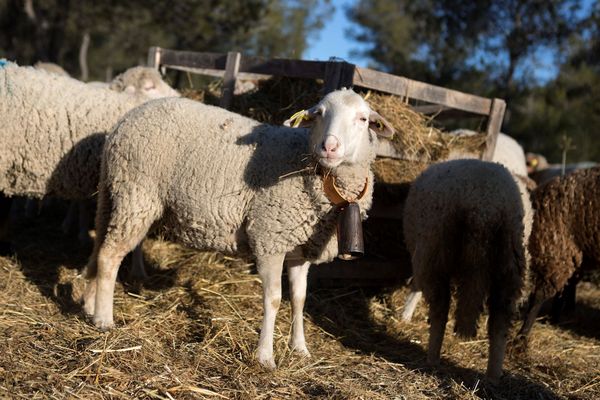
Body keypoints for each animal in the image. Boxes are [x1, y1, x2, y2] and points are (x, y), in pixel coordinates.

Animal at [82, 88, 396, 368]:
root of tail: (124, 122)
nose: (329, 147)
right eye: (318, 114)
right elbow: (274, 299)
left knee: (98, 247)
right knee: (109, 256)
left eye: (363, 119)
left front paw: (300, 348)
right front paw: (265, 357)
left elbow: (299, 298)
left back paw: (88, 304)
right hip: (137, 195)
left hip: (114, 194)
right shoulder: (270, 238)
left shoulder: (300, 250)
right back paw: (104, 320)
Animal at [400, 159, 532, 382]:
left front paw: (405, 314)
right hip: (510, 263)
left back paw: (432, 358)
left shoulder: (423, 253)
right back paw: (493, 375)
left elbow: (416, 285)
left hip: (435, 249)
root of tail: (484, 208)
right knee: (500, 322)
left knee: (440, 311)